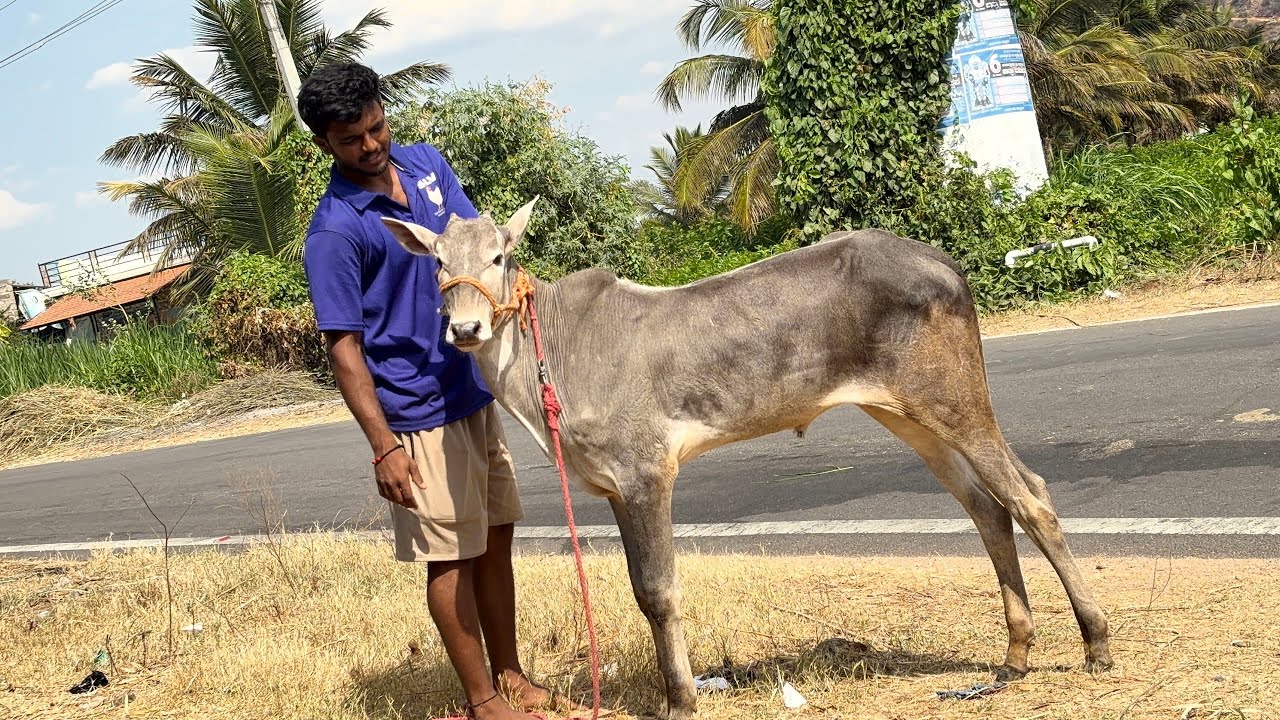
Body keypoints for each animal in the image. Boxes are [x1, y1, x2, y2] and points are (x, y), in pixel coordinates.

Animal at [380, 199, 1113, 720]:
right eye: (437, 263)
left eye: (500, 256)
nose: (465, 328)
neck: (549, 352)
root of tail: (943, 261)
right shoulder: (616, 488)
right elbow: (641, 592)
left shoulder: (647, 472)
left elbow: (659, 590)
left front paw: (680, 700)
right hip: (908, 414)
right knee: (987, 507)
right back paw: (1015, 654)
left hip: (953, 396)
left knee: (1030, 496)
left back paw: (1094, 641)